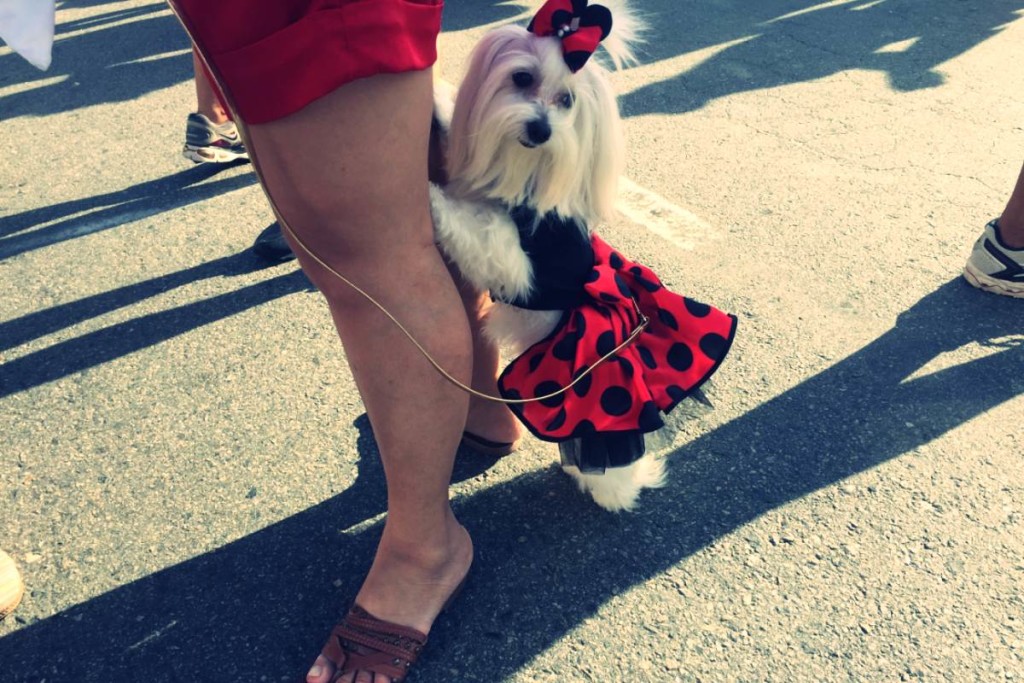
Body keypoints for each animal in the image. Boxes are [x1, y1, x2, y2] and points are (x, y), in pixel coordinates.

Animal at [428, 1, 667, 511]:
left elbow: (474, 228)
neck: (525, 175)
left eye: (567, 100)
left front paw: (430, 197)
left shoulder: (519, 263)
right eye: (521, 78)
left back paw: (612, 490)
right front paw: (439, 97)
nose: (539, 129)